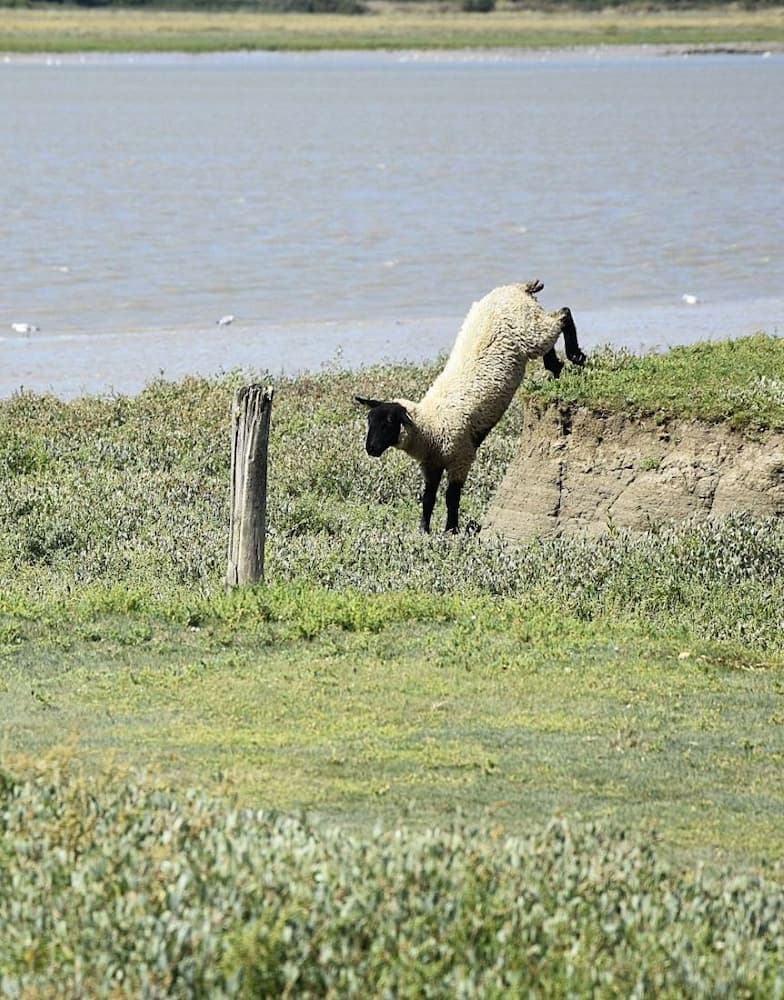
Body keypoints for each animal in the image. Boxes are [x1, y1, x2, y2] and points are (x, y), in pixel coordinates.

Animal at [355, 279, 586, 534]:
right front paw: (424, 530)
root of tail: (518, 287)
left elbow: (451, 497)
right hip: (530, 323)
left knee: (561, 315)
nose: (370, 449)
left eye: (388, 422)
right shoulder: (431, 464)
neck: (429, 425)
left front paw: (451, 530)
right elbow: (428, 498)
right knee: (551, 328)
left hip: (528, 327)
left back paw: (575, 355)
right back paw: (554, 364)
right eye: (369, 421)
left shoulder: (461, 457)